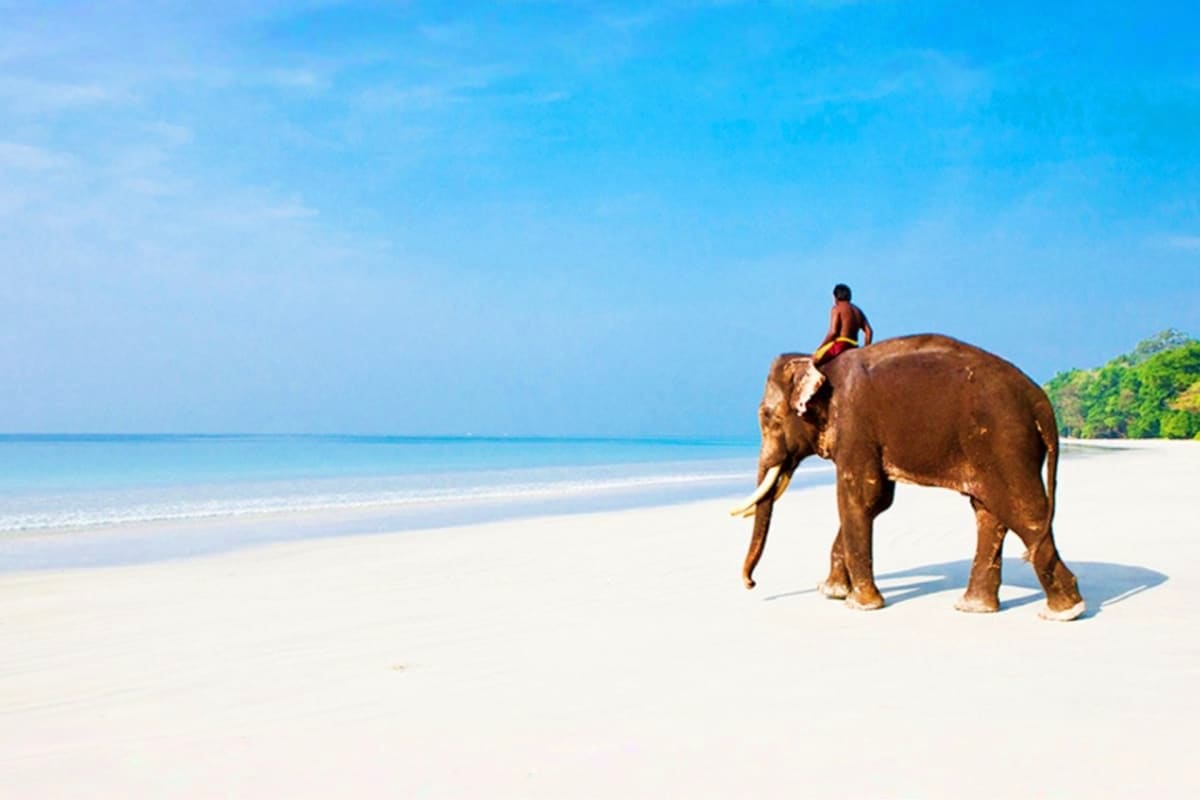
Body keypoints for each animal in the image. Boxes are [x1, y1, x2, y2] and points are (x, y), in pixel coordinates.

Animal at [729, 334, 1086, 621]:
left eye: (767, 417)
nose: (750, 583)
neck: (820, 363)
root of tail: (1041, 401)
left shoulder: (854, 426)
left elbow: (858, 499)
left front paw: (861, 604)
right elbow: (877, 502)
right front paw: (831, 592)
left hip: (1005, 441)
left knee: (1025, 512)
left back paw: (1064, 612)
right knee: (989, 512)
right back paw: (975, 608)